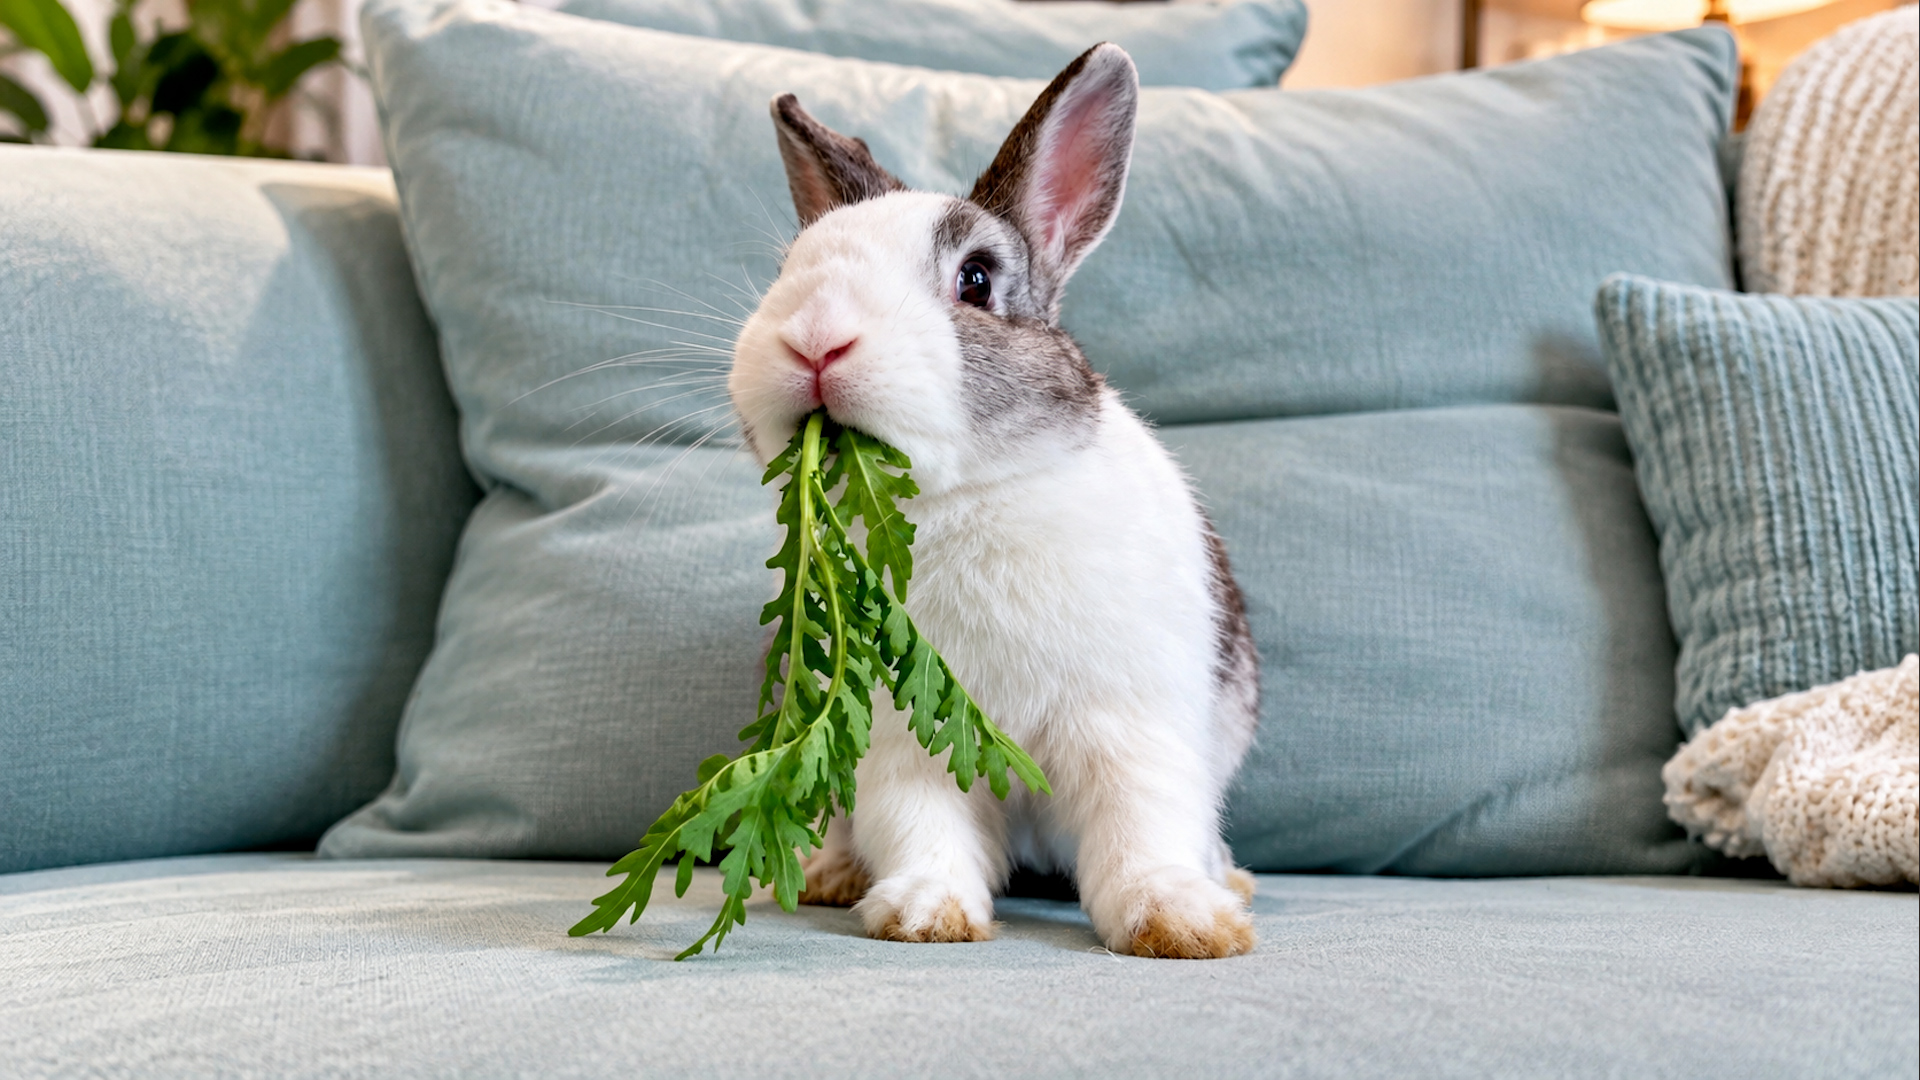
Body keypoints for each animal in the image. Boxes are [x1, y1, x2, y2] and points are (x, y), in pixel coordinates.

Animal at [727, 43, 1260, 959]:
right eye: (791, 270)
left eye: (975, 280)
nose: (814, 339)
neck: (962, 496)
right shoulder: (904, 742)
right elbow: (919, 824)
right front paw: (925, 914)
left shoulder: (1132, 724)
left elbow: (1140, 827)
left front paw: (1181, 923)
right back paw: (836, 875)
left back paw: (1227, 880)